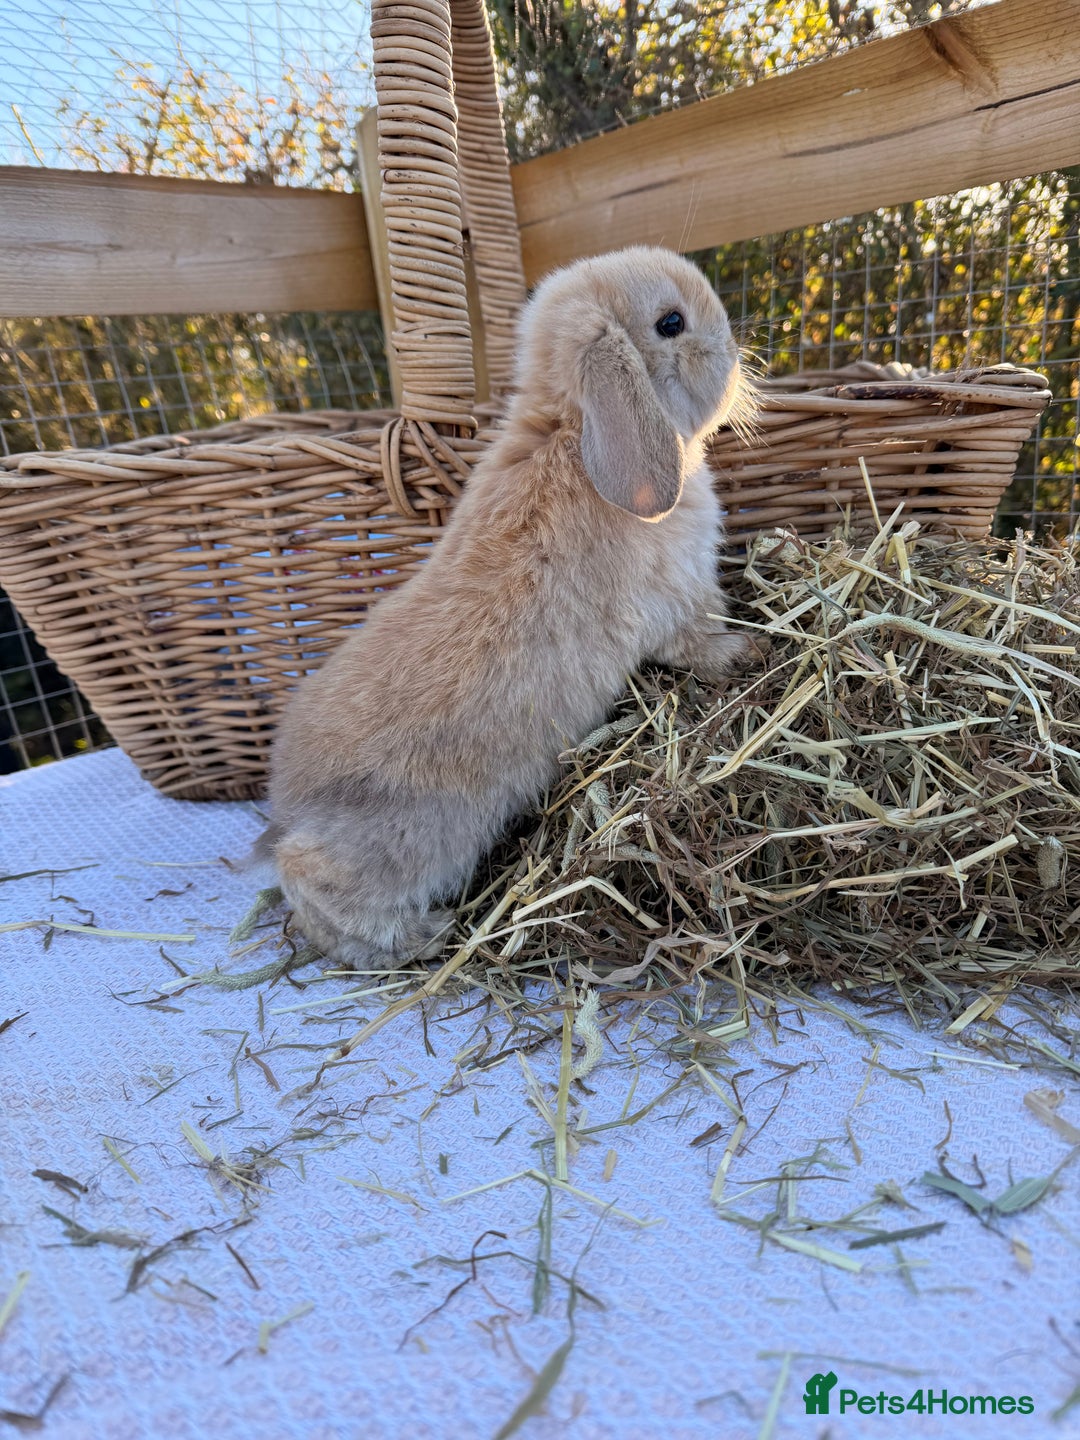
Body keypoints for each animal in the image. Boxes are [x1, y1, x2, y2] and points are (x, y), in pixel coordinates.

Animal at [264, 245, 759, 969]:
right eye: (671, 322)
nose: (736, 349)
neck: (575, 432)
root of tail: (289, 806)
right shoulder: (679, 604)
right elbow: (698, 641)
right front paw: (744, 652)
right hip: (415, 841)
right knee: (309, 881)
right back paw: (417, 938)